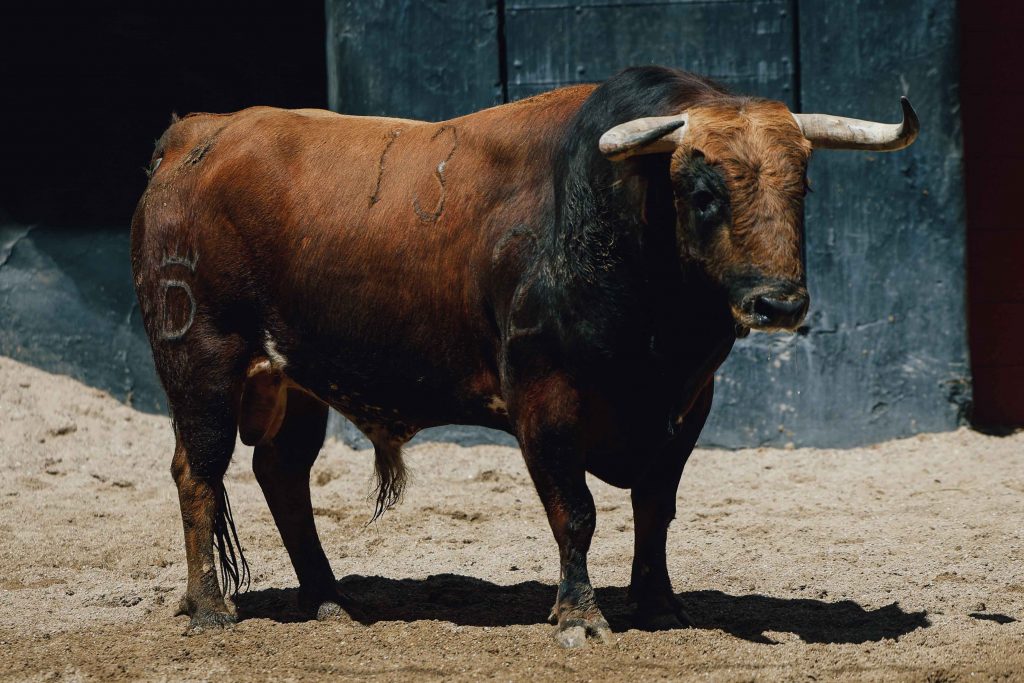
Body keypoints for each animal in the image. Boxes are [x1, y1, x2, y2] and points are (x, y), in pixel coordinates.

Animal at [131, 66, 917, 646]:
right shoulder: (544, 397)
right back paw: (211, 609)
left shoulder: (688, 403)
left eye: (801, 186)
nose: (778, 304)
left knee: (282, 476)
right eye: (701, 191)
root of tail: (197, 134)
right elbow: (576, 510)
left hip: (297, 382)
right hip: (200, 361)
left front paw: (658, 603)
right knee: (198, 472)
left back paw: (328, 600)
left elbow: (654, 505)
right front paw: (580, 615)